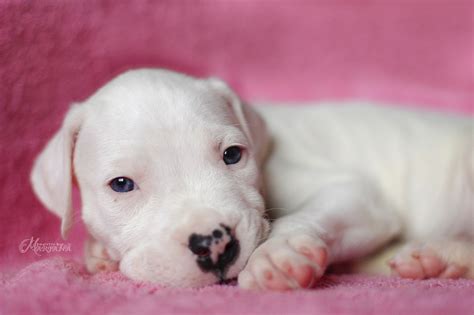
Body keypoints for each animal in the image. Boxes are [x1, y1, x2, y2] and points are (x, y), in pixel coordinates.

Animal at [31, 68, 472, 288]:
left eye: (233, 155)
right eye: (121, 184)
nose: (213, 245)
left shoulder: (360, 199)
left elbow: (314, 212)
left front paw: (277, 254)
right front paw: (100, 253)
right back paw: (435, 260)